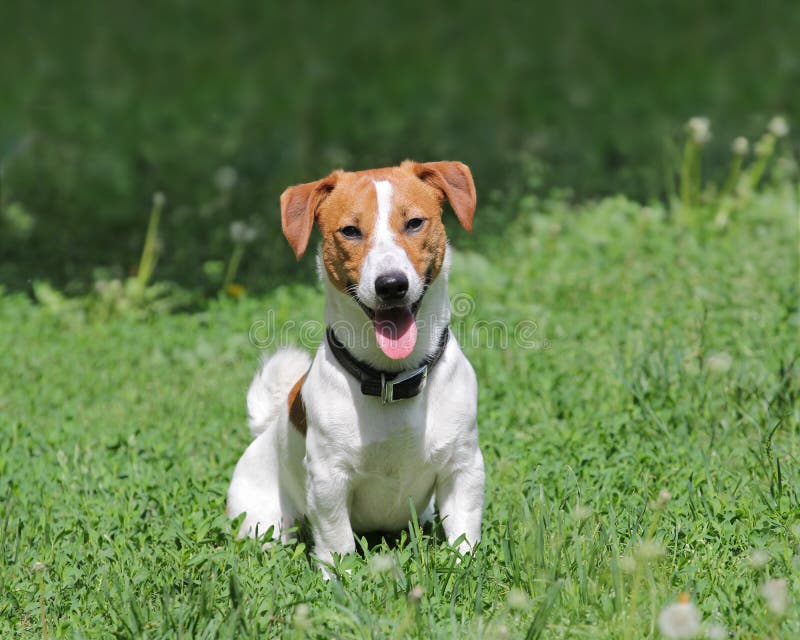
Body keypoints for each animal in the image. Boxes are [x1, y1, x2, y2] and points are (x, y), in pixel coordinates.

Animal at [228, 161, 484, 576]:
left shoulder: (464, 467)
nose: (391, 285)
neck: (391, 379)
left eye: (414, 222)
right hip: (262, 522)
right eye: (350, 230)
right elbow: (337, 542)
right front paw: (343, 581)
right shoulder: (328, 480)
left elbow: (464, 531)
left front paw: (466, 569)